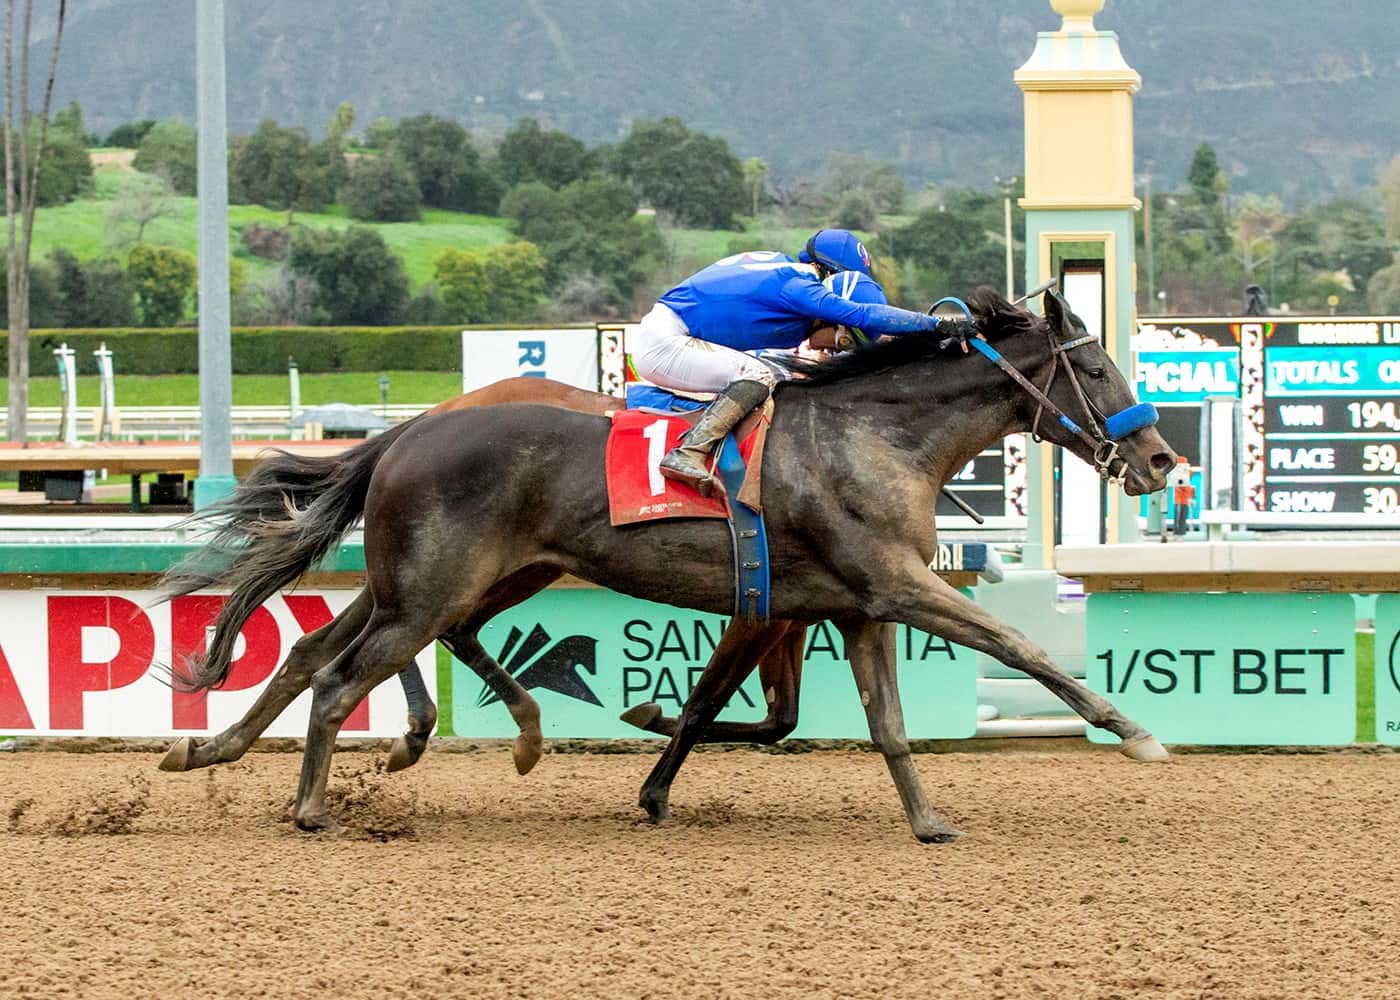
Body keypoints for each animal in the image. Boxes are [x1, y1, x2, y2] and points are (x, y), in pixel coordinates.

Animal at [175, 284, 1181, 834]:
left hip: (459, 581)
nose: (1162, 459)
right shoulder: (892, 585)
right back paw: (316, 803)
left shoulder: (843, 605)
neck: (875, 435)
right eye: (1096, 370)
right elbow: (1023, 648)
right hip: (428, 590)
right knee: (340, 676)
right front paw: (1136, 733)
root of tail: (408, 433)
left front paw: (929, 822)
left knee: (328, 652)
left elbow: (872, 724)